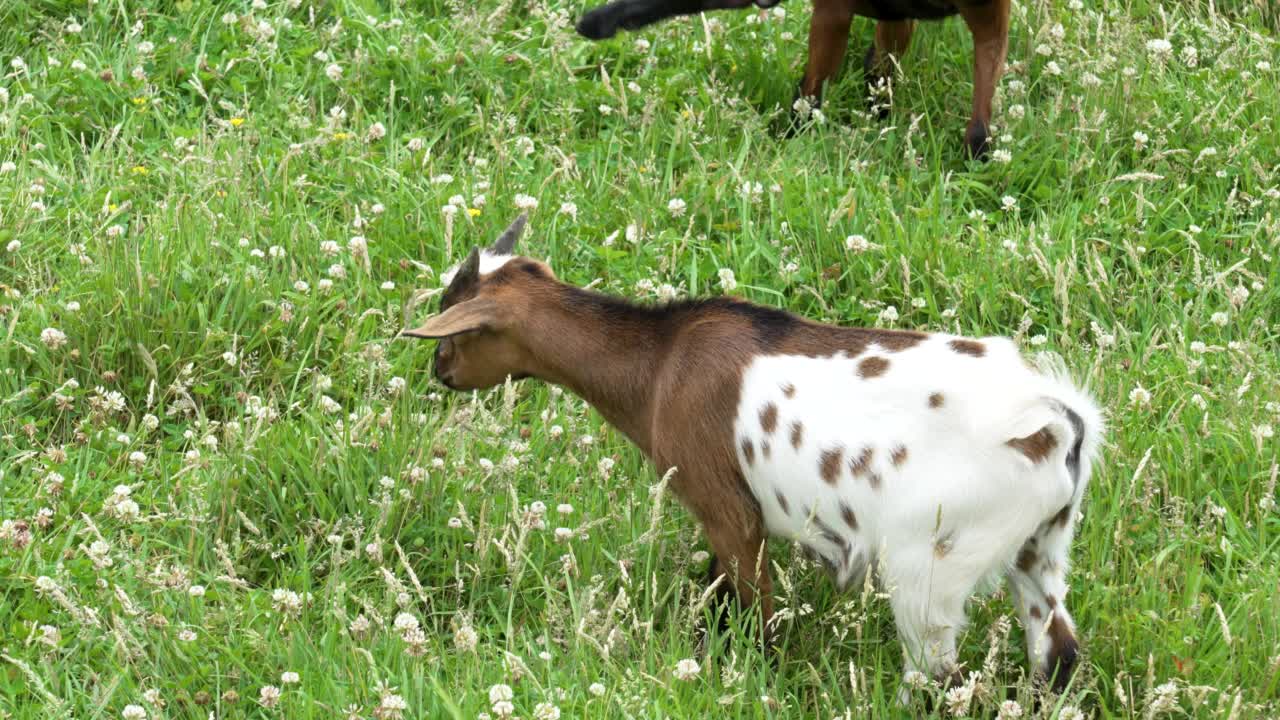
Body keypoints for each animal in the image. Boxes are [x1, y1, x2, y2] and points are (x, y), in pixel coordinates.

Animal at [404, 213, 1105, 696]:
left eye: (453, 326)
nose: (439, 371)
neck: (660, 366)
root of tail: (1057, 419)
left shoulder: (729, 511)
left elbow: (757, 616)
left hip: (930, 567)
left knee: (940, 679)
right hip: (1040, 547)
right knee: (1057, 652)